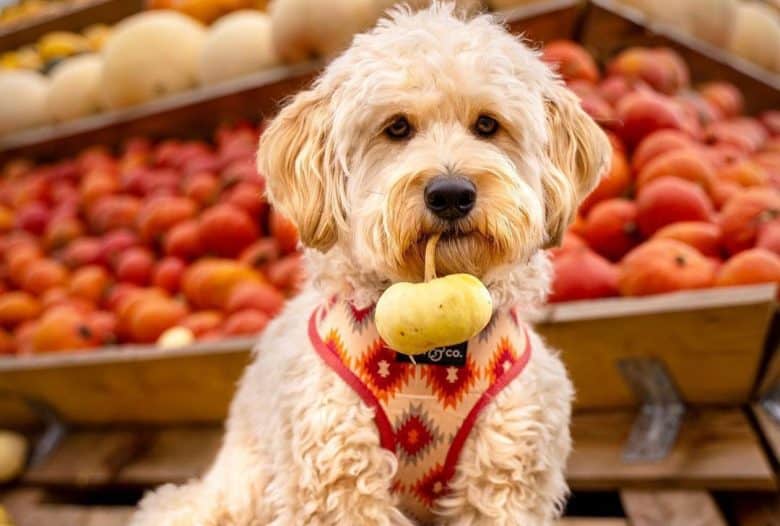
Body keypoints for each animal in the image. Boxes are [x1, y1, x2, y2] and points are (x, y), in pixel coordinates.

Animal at [131, 5, 612, 526]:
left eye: (487, 125)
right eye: (397, 128)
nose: (450, 193)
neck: (432, 357)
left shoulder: (507, 476)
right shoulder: (335, 475)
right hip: (231, 497)